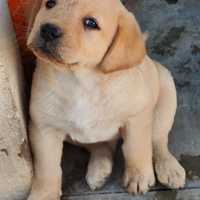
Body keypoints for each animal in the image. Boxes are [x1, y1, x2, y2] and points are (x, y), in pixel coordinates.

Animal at [26, 0, 186, 199]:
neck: (80, 83)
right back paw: (99, 166)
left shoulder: (137, 115)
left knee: (157, 139)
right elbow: (46, 168)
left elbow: (136, 147)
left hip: (166, 92)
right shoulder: (43, 127)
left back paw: (168, 167)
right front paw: (43, 194)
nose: (48, 30)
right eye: (50, 3)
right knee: (102, 145)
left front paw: (138, 174)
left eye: (91, 23)